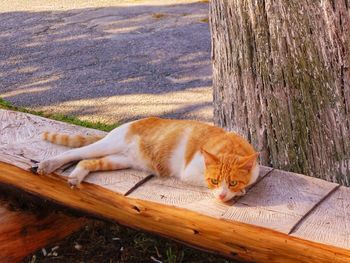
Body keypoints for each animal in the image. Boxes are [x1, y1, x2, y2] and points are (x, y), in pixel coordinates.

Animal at [37, 117, 258, 202]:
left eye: (233, 182)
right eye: (214, 180)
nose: (222, 196)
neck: (230, 147)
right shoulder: (189, 172)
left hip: (119, 160)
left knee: (86, 162)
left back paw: (76, 176)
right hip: (109, 145)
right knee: (75, 153)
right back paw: (48, 164)